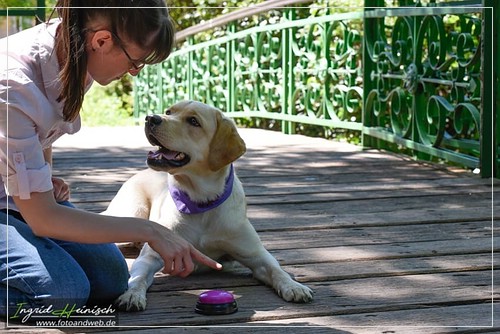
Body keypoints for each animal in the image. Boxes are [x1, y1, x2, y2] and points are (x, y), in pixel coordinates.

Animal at [106, 101, 312, 310]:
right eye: (169, 112)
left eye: (193, 121)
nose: (151, 118)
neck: (201, 201)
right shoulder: (152, 255)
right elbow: (138, 278)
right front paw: (132, 294)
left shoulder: (257, 254)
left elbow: (277, 270)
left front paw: (294, 286)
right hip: (132, 213)